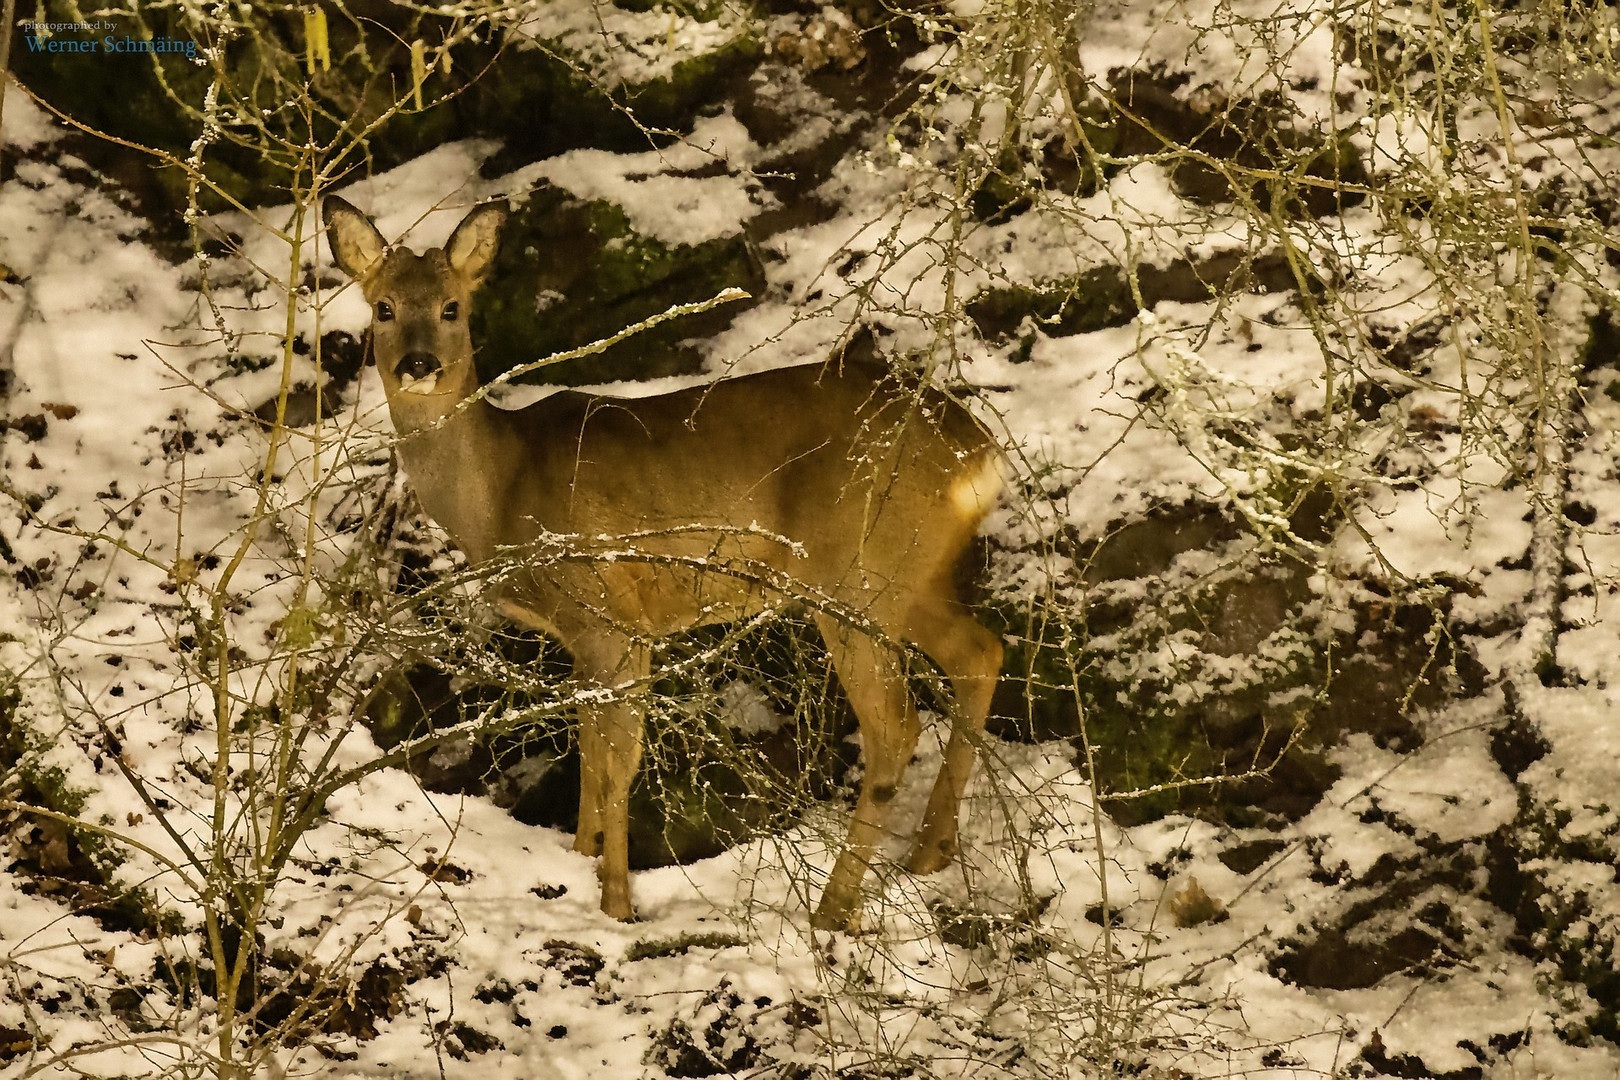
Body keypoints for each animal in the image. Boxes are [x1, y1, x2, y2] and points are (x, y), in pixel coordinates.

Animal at [324, 196, 1004, 932]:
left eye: (452, 307)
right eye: (384, 307)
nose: (418, 363)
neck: (504, 489)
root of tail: (978, 453)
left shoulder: (612, 614)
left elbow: (617, 759)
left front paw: (616, 903)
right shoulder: (585, 636)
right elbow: (589, 749)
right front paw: (579, 860)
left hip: (857, 576)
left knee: (896, 726)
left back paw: (834, 908)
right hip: (909, 577)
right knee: (980, 652)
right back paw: (929, 855)